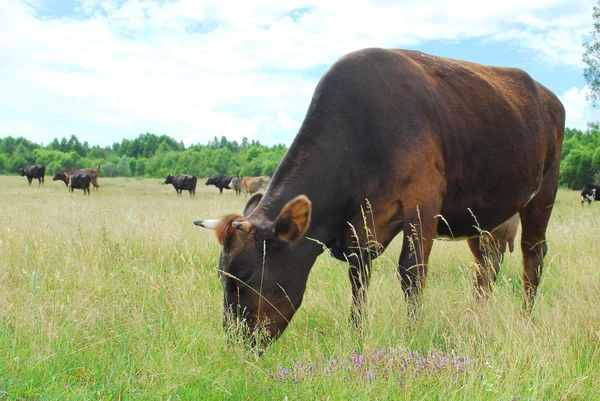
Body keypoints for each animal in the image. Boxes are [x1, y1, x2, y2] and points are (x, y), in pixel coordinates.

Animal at [195, 49, 564, 344]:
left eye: (245, 275)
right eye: (221, 275)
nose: (236, 341)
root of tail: (548, 95)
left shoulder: (422, 206)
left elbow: (411, 274)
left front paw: (412, 335)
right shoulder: (359, 228)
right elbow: (359, 280)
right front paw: (356, 333)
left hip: (543, 194)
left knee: (532, 257)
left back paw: (524, 320)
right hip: (485, 219)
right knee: (486, 267)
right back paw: (474, 320)